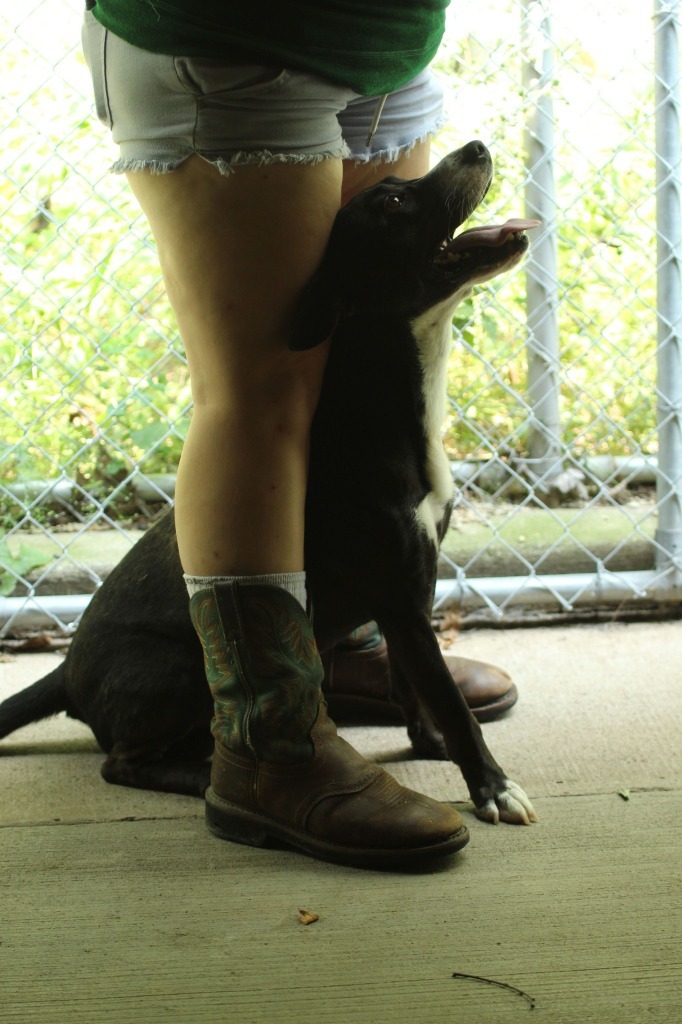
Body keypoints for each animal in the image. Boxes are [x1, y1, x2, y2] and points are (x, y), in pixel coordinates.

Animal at [2, 144, 540, 827]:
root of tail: (66, 670)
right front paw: (492, 787)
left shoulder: (409, 594)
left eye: (396, 184)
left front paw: (430, 745)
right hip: (183, 671)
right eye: (393, 203)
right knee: (121, 762)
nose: (476, 148)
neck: (386, 399)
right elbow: (448, 698)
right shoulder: (400, 596)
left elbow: (412, 687)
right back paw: (199, 774)